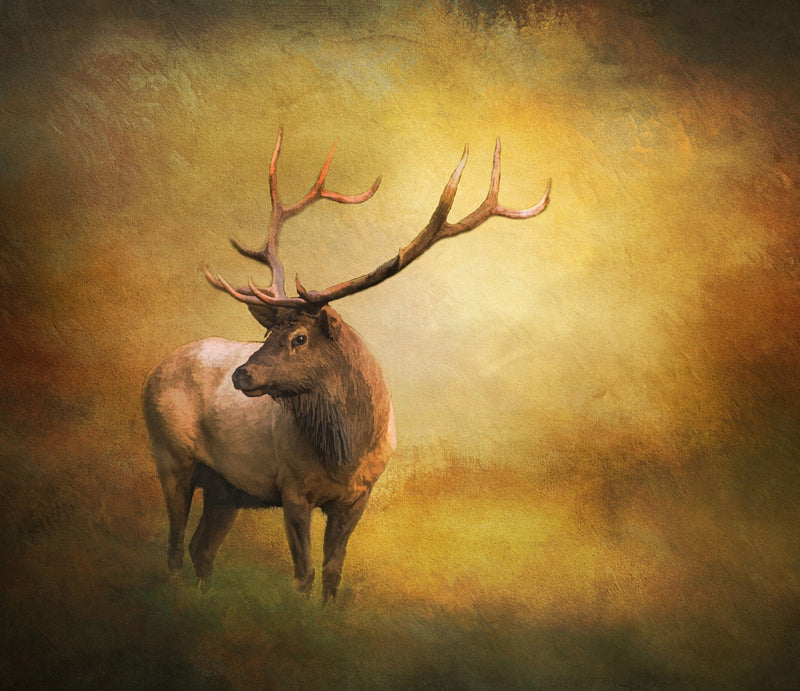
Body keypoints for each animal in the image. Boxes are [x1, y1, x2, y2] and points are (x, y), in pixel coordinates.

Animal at [142, 130, 550, 603]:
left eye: (299, 338)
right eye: (268, 334)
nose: (242, 374)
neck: (346, 454)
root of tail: (153, 373)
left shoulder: (360, 495)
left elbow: (333, 571)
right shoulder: (292, 488)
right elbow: (303, 574)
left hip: (226, 487)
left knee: (201, 548)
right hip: (170, 455)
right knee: (174, 545)